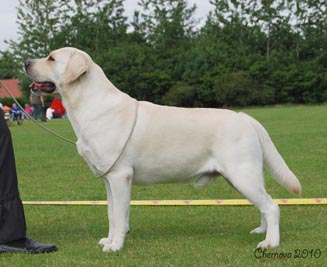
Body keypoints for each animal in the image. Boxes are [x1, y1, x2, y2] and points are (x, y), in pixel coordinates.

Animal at [25, 47, 302, 252]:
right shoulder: (108, 179)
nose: (26, 62)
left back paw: (270, 242)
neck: (91, 104)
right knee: (266, 203)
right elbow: (112, 214)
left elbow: (118, 216)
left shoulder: (120, 176)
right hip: (243, 177)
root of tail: (245, 117)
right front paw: (110, 239)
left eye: (51, 58)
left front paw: (115, 246)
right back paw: (262, 231)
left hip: (242, 174)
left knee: (272, 206)